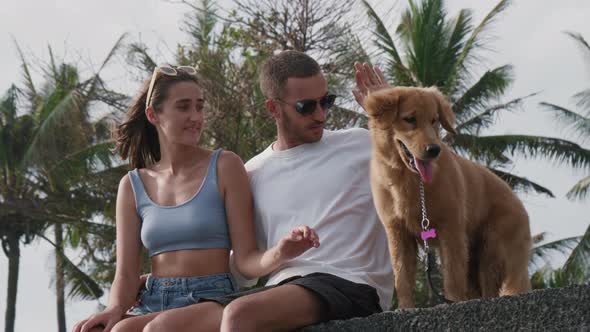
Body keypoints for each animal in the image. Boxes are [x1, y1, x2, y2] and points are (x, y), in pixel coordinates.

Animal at [368, 86, 536, 308]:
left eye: (434, 120)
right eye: (410, 119)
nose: (434, 150)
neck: (412, 182)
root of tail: (520, 204)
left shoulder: (451, 230)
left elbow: (453, 278)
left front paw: (453, 301)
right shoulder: (398, 232)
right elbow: (402, 278)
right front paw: (405, 308)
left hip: (492, 250)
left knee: (492, 286)